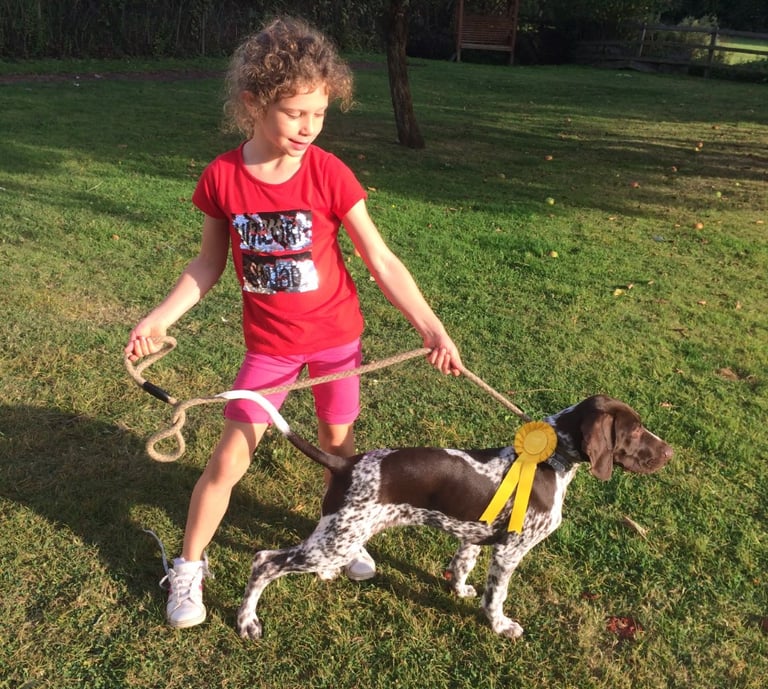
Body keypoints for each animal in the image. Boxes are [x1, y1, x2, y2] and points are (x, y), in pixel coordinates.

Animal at [222, 392, 673, 641]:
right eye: (634, 430)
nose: (669, 453)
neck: (549, 459)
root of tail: (345, 464)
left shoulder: (473, 535)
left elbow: (461, 565)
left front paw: (458, 591)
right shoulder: (510, 552)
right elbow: (497, 597)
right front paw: (500, 626)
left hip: (339, 537)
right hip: (333, 541)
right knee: (263, 561)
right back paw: (247, 622)